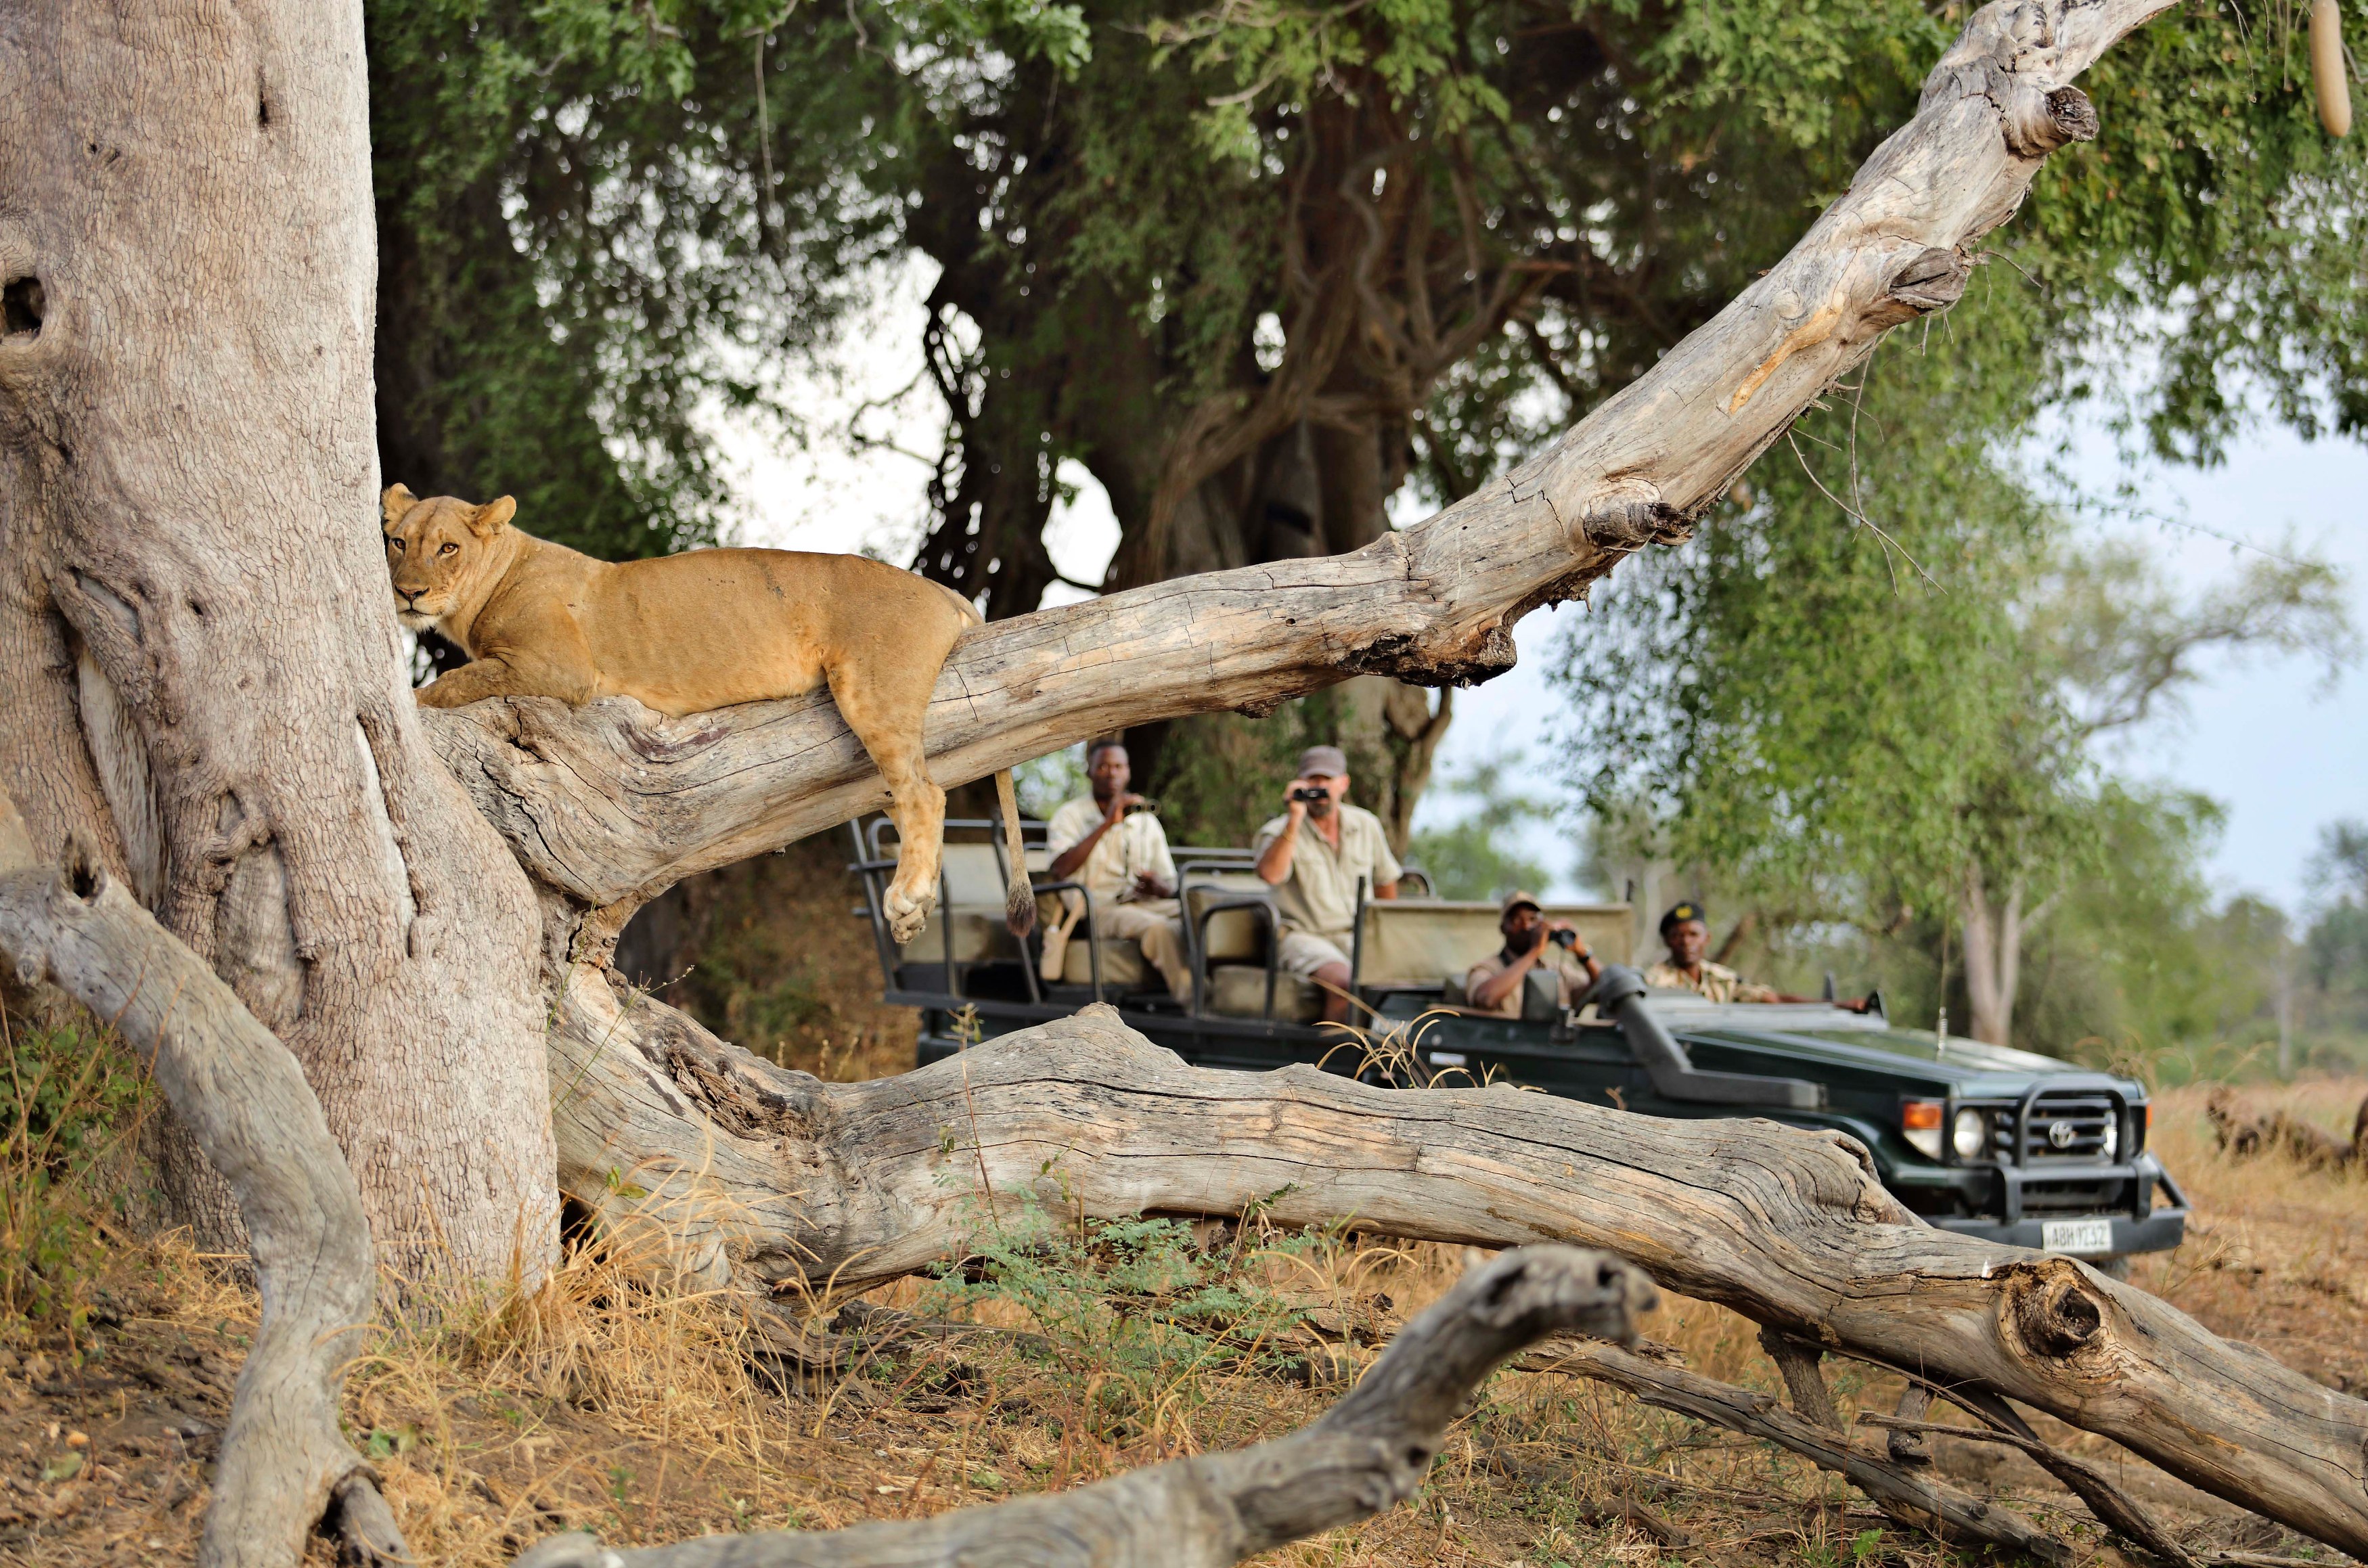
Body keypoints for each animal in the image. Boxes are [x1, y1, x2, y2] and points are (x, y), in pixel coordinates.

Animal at [381, 484, 1031, 945]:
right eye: (398, 543)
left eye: (448, 547)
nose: (408, 594)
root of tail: (937, 587)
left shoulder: (558, 669)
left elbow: (448, 682)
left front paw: (409, 696)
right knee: (903, 793)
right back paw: (913, 916)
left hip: (872, 689)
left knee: (925, 791)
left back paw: (906, 896)